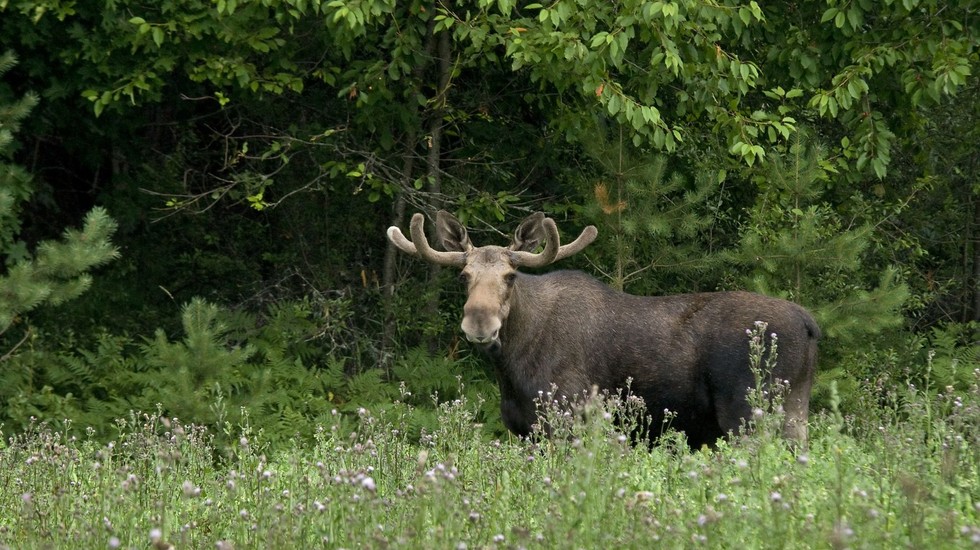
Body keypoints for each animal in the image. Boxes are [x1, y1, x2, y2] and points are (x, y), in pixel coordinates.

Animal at [386, 210, 824, 448]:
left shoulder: (570, 415)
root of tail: (809, 324)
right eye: (464, 275)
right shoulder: (524, 430)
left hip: (749, 412)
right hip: (794, 411)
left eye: (510, 276)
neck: (511, 368)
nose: (480, 321)